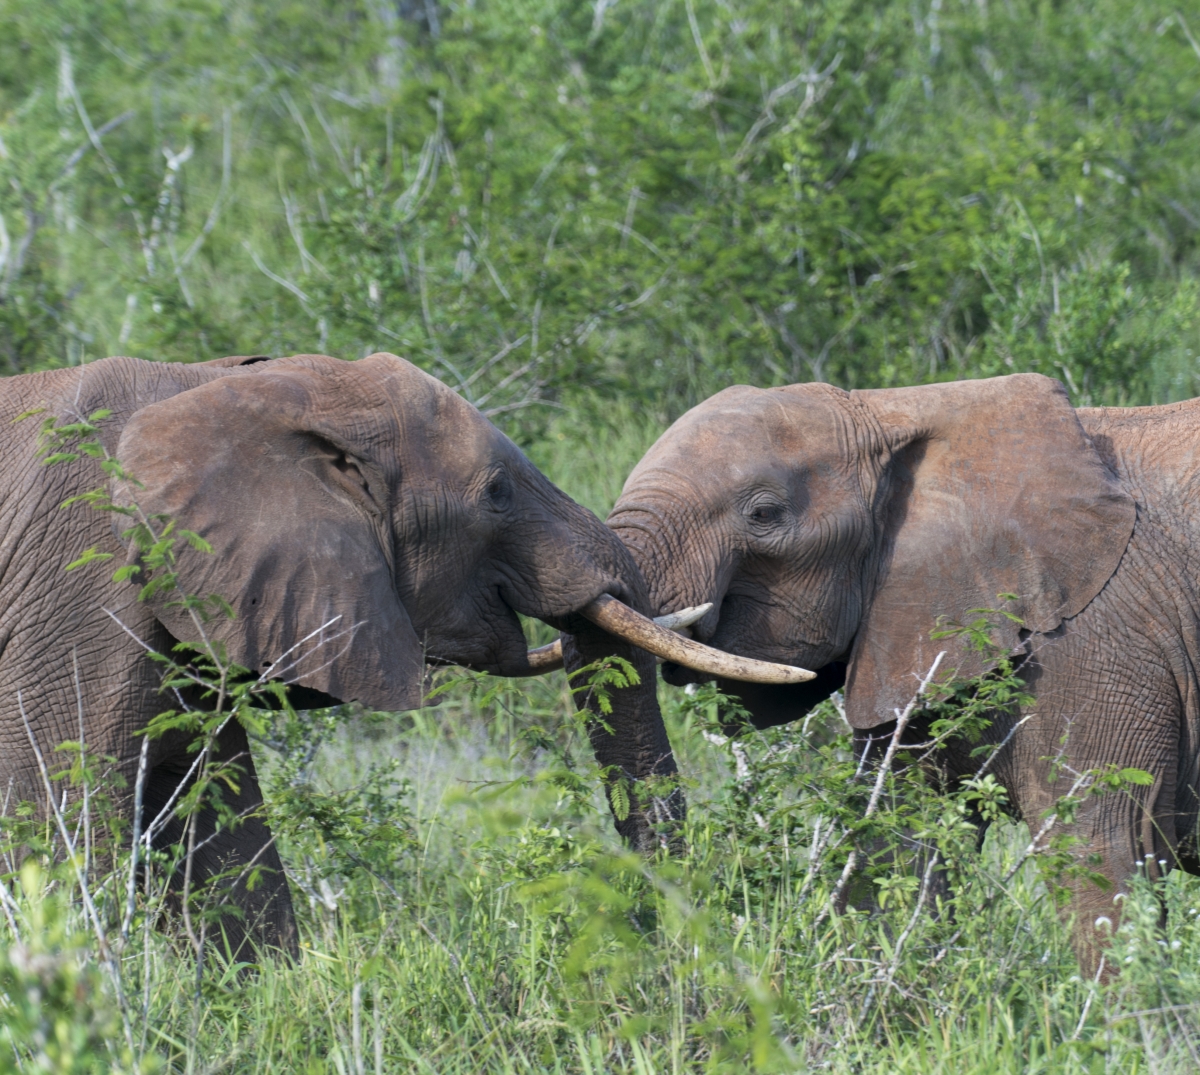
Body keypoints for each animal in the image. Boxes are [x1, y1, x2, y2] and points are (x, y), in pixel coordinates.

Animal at [0, 350, 796, 959]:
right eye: (497, 493)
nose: (663, 946)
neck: (223, 385)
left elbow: (219, 819)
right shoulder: (85, 590)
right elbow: (61, 818)